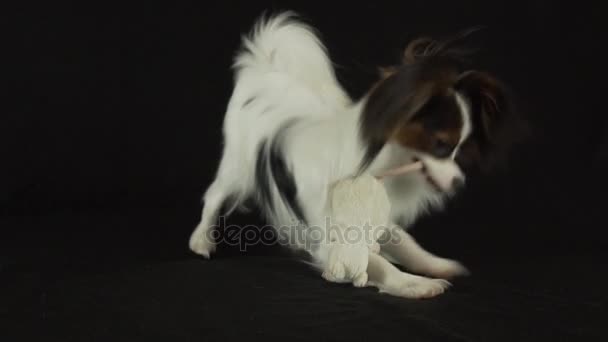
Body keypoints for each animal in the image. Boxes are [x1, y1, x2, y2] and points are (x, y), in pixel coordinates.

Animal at [189, 12, 516, 298]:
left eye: (461, 147)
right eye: (441, 145)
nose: (460, 182)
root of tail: (264, 69)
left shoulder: (380, 219)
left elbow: (406, 244)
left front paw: (436, 265)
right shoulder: (335, 238)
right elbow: (377, 263)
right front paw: (413, 284)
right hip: (237, 166)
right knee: (214, 195)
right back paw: (202, 239)